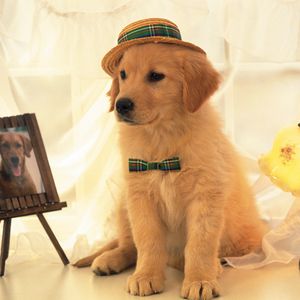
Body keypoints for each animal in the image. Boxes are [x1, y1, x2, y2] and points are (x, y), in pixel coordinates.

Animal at [75, 43, 268, 298]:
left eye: (156, 76)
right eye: (123, 75)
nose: (121, 105)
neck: (162, 137)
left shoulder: (205, 196)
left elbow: (200, 244)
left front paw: (200, 279)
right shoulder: (140, 196)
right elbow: (147, 241)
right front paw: (146, 276)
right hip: (123, 206)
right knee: (129, 245)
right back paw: (111, 259)